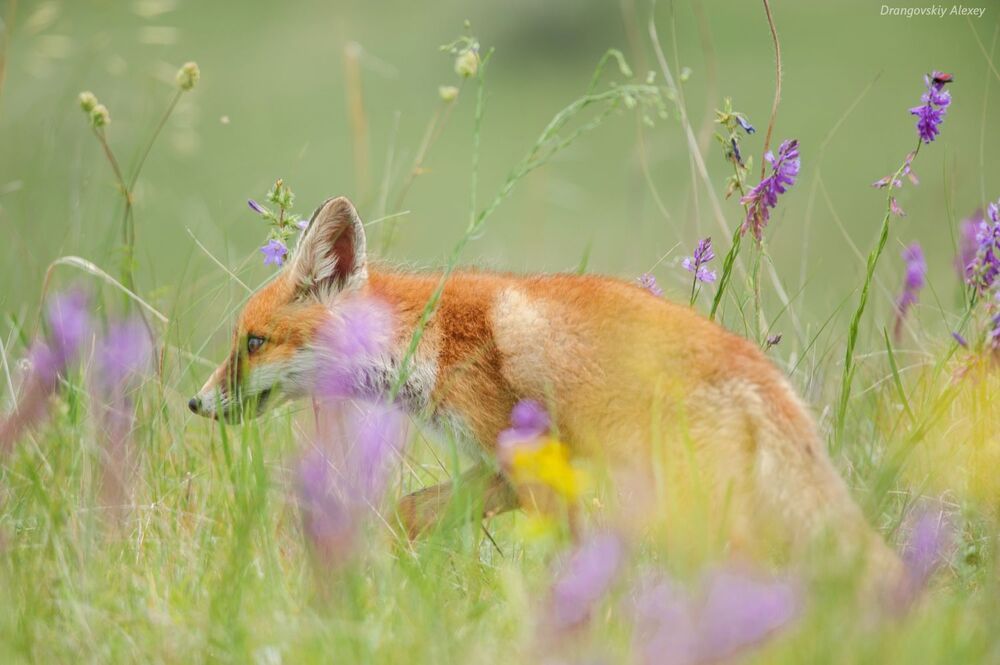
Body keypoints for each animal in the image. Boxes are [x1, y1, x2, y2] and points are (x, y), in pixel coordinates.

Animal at [189, 195, 901, 577]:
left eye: (253, 343)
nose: (195, 402)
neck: (431, 341)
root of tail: (759, 372)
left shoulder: (533, 461)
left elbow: (569, 556)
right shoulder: (508, 464)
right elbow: (410, 509)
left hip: (696, 504)